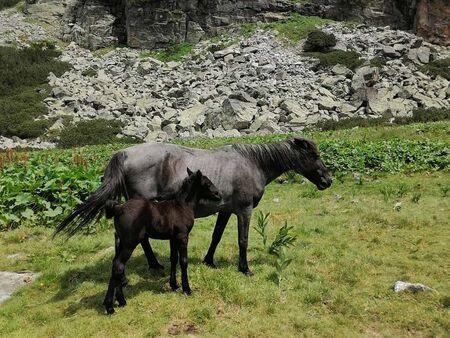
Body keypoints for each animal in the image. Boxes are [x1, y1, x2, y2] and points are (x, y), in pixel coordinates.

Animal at [102, 169, 221, 314]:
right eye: (207, 183)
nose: (218, 194)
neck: (182, 207)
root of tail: (119, 208)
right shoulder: (182, 237)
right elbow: (183, 261)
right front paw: (186, 289)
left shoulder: (173, 238)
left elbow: (173, 259)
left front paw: (174, 285)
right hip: (130, 243)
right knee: (118, 265)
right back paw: (110, 306)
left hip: (121, 242)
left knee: (116, 265)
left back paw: (120, 301)